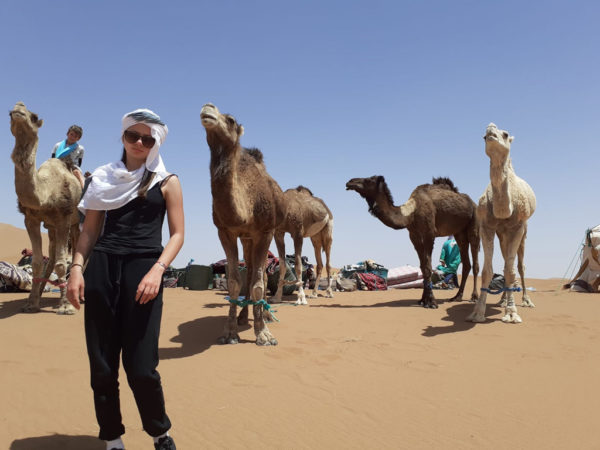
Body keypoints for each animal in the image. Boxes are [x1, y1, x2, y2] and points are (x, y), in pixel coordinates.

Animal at [9, 101, 81, 312]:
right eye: (10, 114)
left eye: (34, 116)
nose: (18, 107)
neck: (45, 193)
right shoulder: (31, 219)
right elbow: (38, 262)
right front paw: (31, 303)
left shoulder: (64, 217)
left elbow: (61, 263)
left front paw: (65, 306)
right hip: (53, 228)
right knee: (52, 257)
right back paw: (41, 293)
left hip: (79, 222)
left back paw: (77, 296)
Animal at [200, 103, 284, 346]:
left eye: (230, 120)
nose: (208, 107)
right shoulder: (225, 231)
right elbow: (235, 282)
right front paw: (229, 332)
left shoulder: (265, 231)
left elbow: (258, 284)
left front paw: (264, 334)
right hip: (246, 238)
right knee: (249, 271)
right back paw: (243, 317)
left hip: (268, 233)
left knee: (261, 275)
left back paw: (265, 315)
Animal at [344, 174, 480, 308]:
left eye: (369, 180)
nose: (350, 182)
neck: (410, 213)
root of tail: (472, 203)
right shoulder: (414, 236)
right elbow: (423, 267)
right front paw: (423, 300)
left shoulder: (429, 234)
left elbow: (428, 267)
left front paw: (432, 302)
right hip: (459, 232)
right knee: (466, 262)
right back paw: (457, 297)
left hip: (474, 221)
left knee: (475, 260)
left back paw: (474, 297)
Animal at [466, 122, 536, 324]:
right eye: (484, 136)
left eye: (505, 134)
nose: (491, 133)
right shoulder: (486, 227)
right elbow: (487, 271)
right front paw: (477, 313)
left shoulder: (518, 227)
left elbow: (512, 271)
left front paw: (512, 313)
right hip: (502, 234)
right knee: (506, 261)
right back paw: (503, 300)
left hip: (523, 232)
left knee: (518, 266)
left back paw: (525, 301)